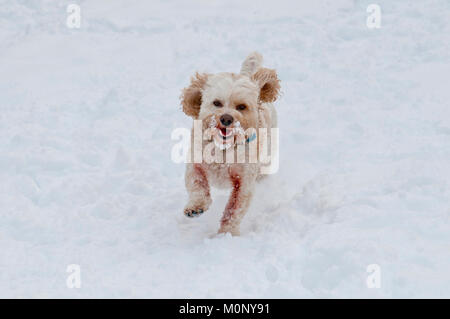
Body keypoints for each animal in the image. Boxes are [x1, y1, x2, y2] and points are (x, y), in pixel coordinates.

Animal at [180, 52, 280, 236]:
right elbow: (197, 183)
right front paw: (196, 207)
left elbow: (234, 209)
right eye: (217, 103)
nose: (226, 118)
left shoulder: (244, 182)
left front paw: (226, 234)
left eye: (242, 107)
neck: (223, 149)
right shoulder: (195, 163)